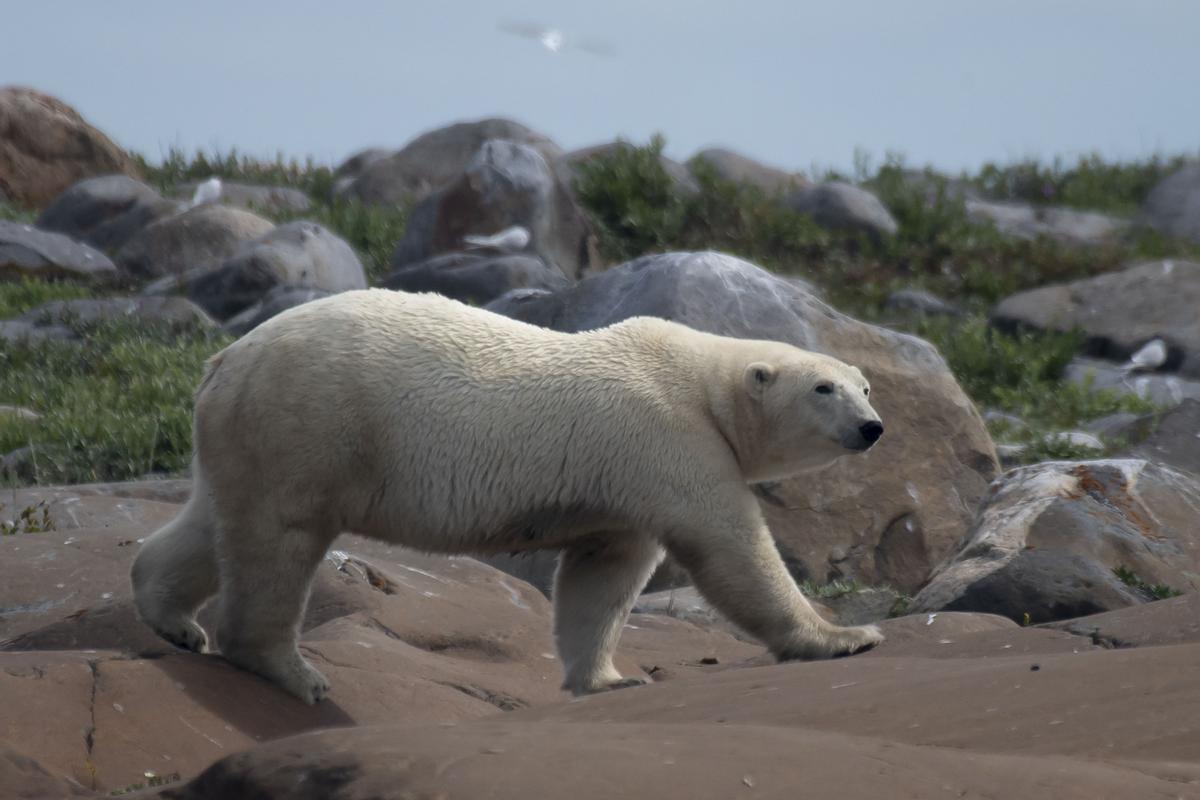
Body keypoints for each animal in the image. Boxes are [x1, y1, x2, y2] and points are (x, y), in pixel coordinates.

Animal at [131, 287, 888, 700]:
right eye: (824, 388)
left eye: (864, 385)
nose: (872, 427)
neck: (702, 380)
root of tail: (225, 358)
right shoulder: (669, 438)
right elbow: (731, 548)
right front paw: (846, 637)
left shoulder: (626, 481)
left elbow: (603, 574)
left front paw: (608, 678)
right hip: (311, 420)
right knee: (280, 539)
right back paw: (292, 671)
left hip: (250, 433)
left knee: (216, 522)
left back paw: (172, 617)